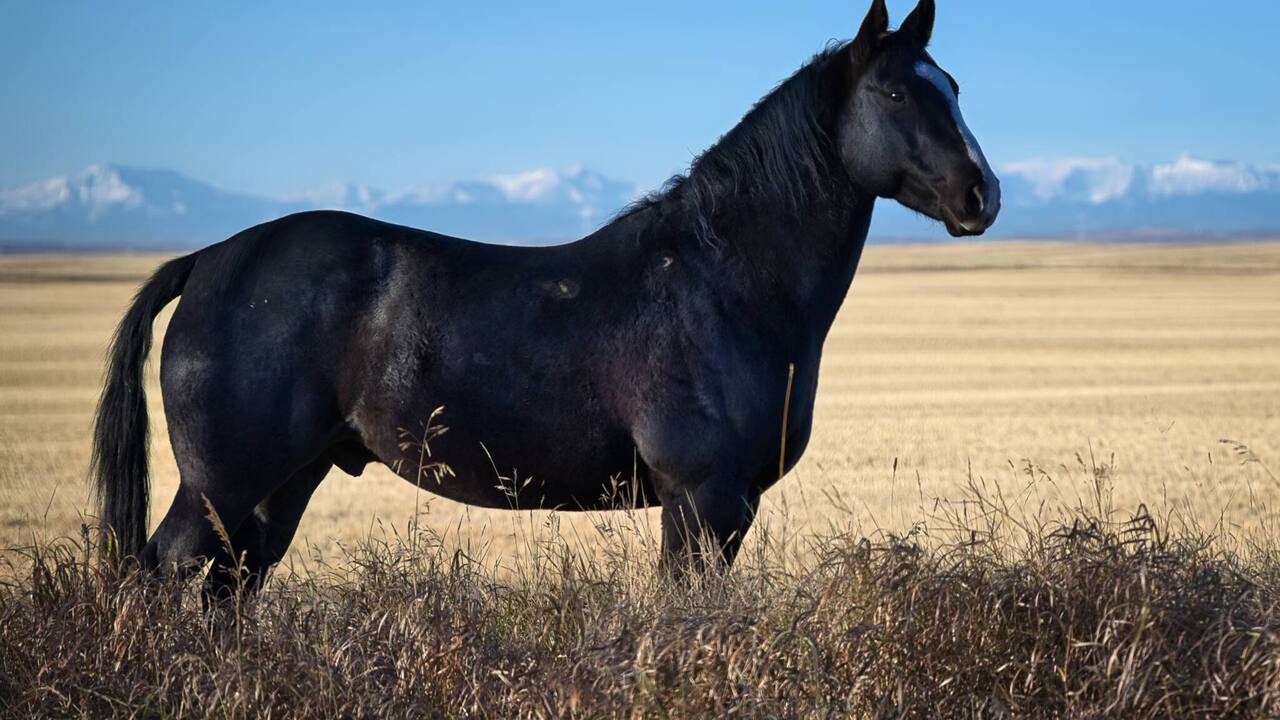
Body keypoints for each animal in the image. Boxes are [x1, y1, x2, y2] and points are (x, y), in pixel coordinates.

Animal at [91, 0, 1000, 593]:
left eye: (954, 86)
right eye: (894, 92)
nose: (981, 194)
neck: (723, 284)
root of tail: (210, 260)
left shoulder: (729, 507)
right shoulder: (700, 497)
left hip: (282, 483)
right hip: (222, 483)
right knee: (167, 573)